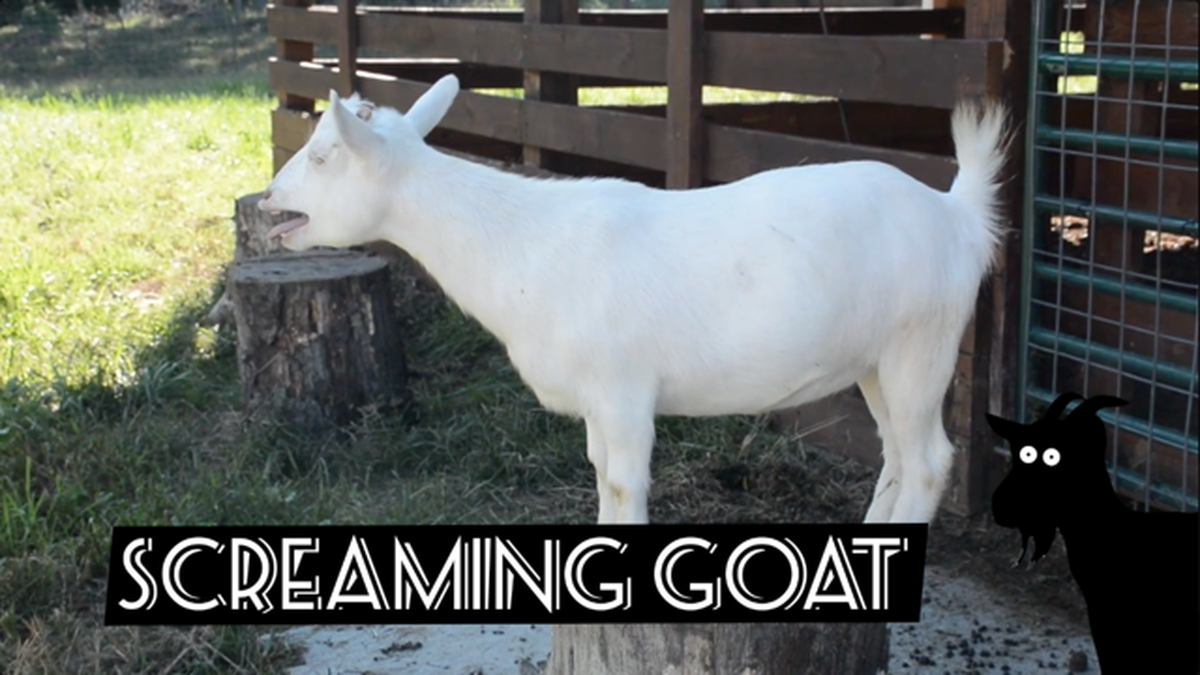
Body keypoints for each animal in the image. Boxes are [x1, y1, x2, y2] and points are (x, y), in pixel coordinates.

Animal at [258, 75, 1011, 526]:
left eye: (323, 156)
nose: (268, 199)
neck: (521, 245)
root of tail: (958, 213)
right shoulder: (597, 401)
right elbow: (600, 477)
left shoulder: (623, 390)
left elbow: (624, 482)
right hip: (876, 360)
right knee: (896, 454)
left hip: (922, 342)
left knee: (929, 461)